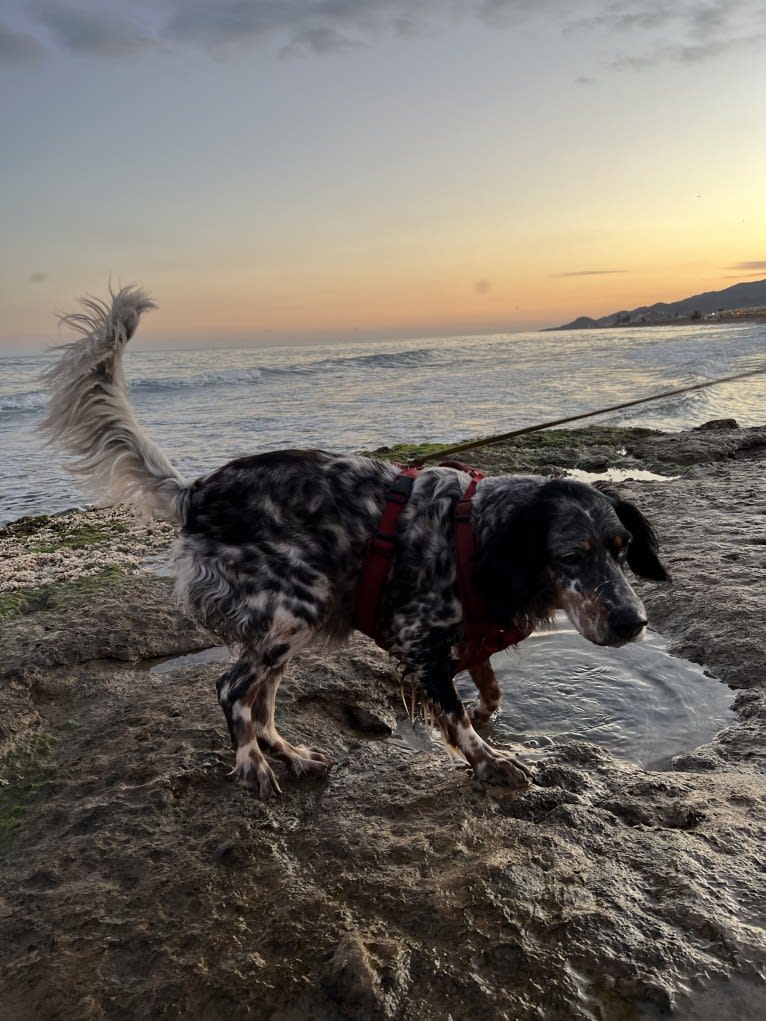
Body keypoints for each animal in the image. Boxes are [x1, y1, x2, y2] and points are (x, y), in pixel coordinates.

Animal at [41, 285, 669, 796]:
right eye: (570, 556)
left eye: (620, 548)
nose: (631, 623)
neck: (482, 535)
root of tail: (195, 494)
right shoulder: (417, 641)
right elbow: (457, 717)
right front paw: (489, 761)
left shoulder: (468, 640)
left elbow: (489, 691)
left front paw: (489, 717)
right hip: (295, 606)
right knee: (232, 690)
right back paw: (252, 766)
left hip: (289, 626)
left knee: (262, 703)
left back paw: (291, 754)